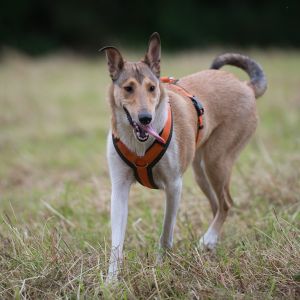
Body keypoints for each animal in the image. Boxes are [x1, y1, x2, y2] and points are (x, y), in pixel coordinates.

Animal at [101, 31, 268, 280]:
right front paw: (111, 280)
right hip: (201, 171)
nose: (145, 118)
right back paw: (211, 244)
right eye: (128, 88)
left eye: (152, 88)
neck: (140, 143)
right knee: (217, 205)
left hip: (216, 162)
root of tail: (246, 86)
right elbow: (117, 242)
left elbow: (165, 234)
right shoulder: (120, 187)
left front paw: (160, 268)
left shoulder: (174, 186)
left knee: (226, 203)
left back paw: (208, 239)